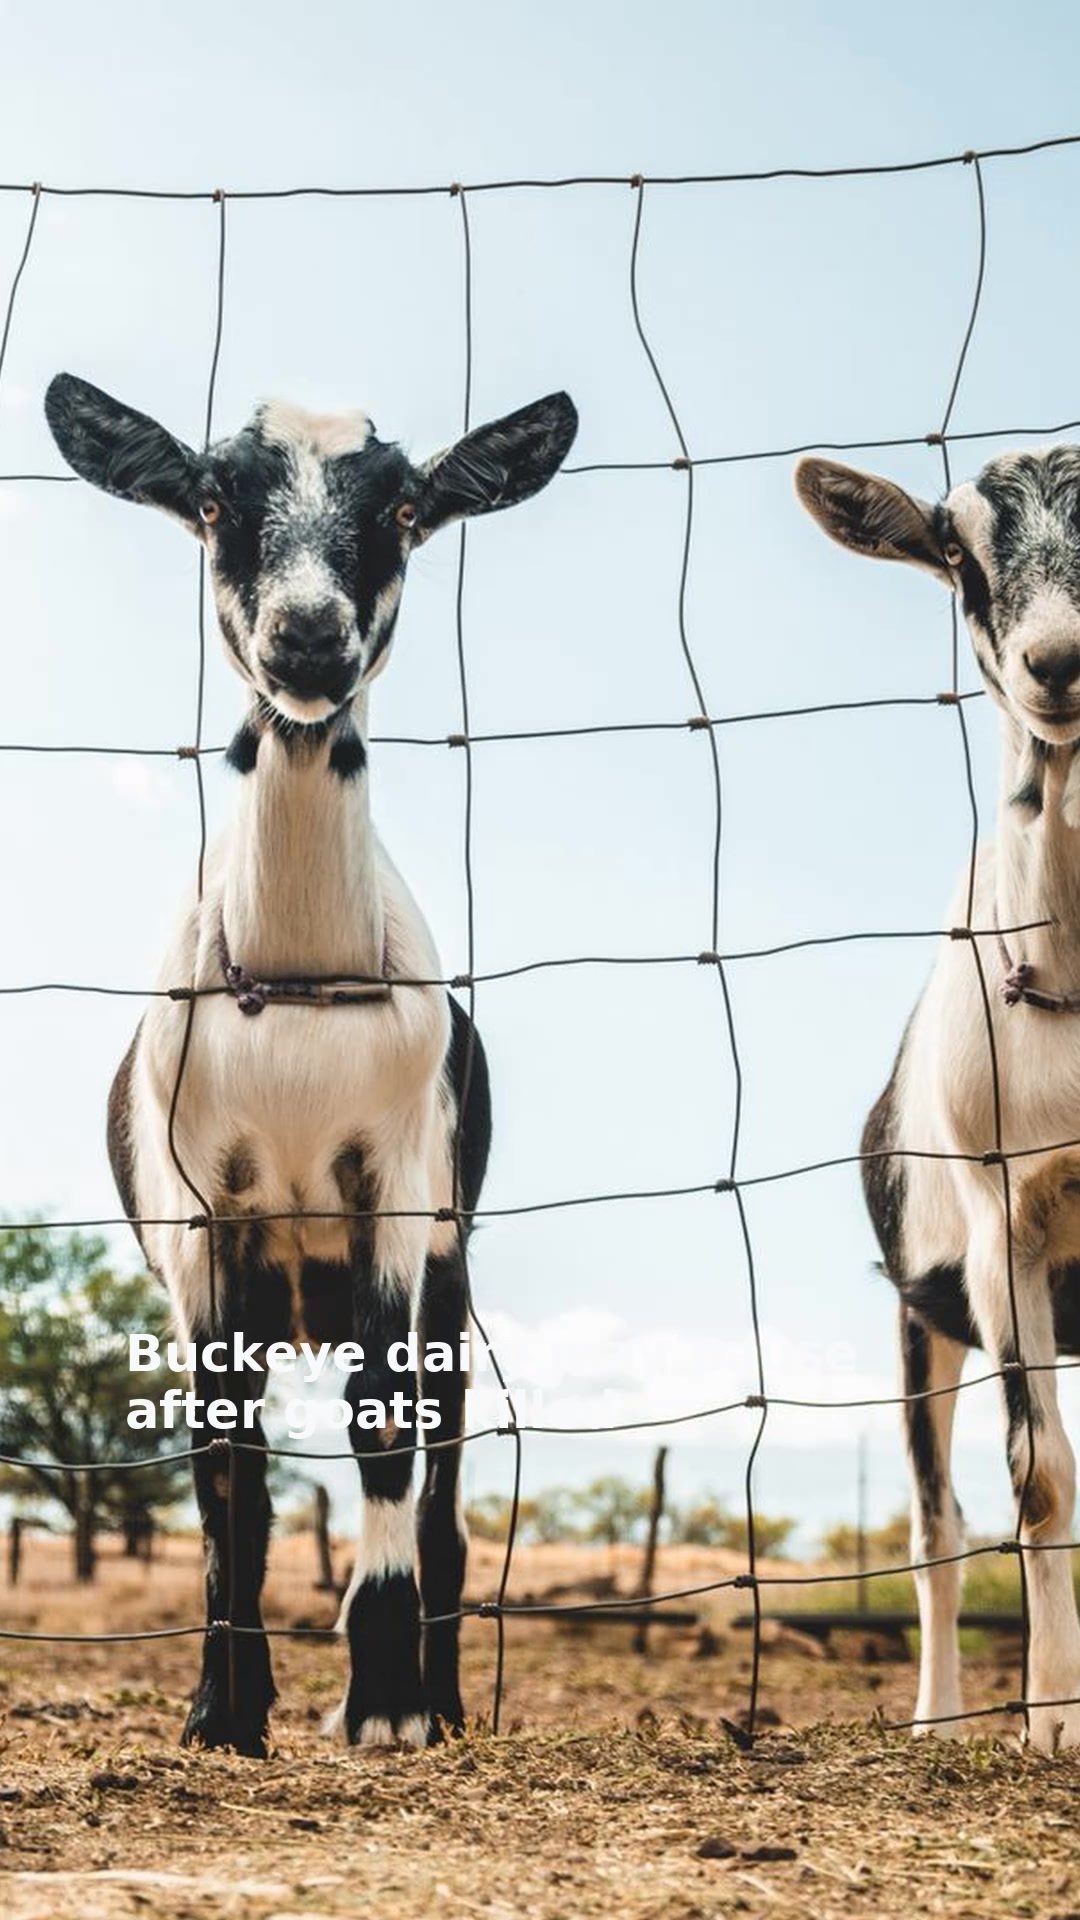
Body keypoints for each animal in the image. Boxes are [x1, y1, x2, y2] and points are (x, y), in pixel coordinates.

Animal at [45, 372, 578, 1756]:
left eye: (401, 507)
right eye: (214, 499)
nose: (307, 635)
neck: (292, 981)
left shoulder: (390, 1183)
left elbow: (384, 1425)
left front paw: (383, 1702)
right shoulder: (201, 1217)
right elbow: (223, 1458)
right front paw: (223, 1710)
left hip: (448, 1268)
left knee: (442, 1478)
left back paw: (441, 1699)